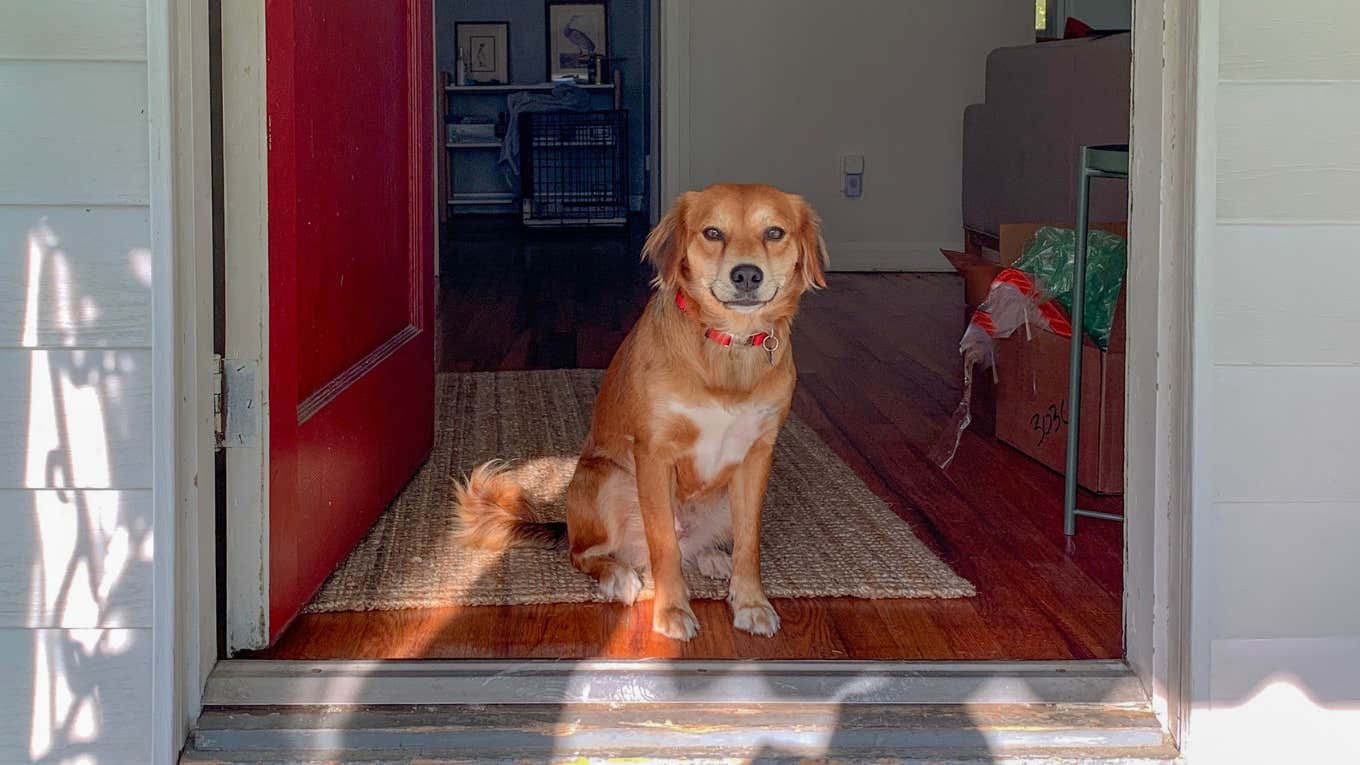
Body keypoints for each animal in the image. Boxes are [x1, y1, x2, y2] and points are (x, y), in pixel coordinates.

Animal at [454, 185, 826, 637]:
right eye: (712, 232)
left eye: (774, 232)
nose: (746, 275)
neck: (726, 347)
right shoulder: (653, 454)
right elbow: (663, 543)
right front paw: (672, 611)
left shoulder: (756, 457)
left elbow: (748, 541)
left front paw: (751, 602)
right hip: (605, 479)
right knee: (588, 553)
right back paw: (619, 575)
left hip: (720, 494)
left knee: (698, 545)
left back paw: (712, 557)